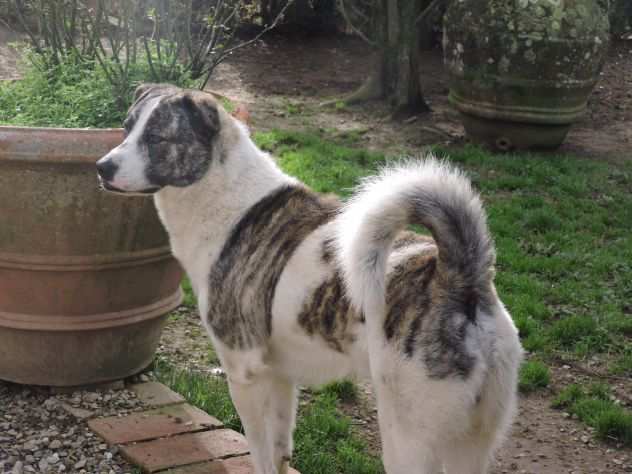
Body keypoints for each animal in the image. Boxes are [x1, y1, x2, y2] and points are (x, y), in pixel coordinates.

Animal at [97, 85, 524, 474]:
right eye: (126, 129)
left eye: (157, 138)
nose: (102, 168)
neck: (224, 196)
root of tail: (459, 276)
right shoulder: (281, 377)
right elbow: (280, 451)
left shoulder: (245, 375)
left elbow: (260, 453)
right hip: (473, 442)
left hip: (409, 439)